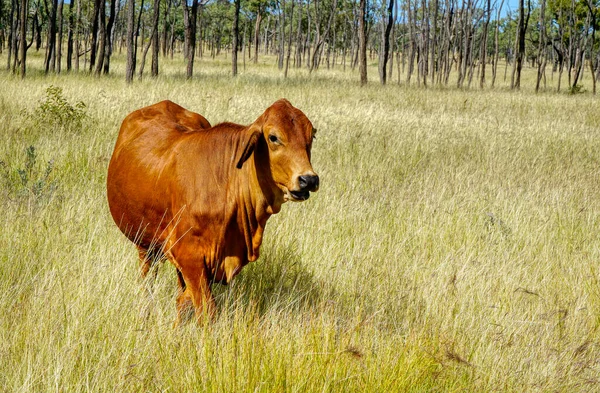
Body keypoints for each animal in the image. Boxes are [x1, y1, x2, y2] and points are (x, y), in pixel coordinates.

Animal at [107, 98, 318, 322]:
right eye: (273, 137)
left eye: (311, 135)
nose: (308, 180)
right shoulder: (188, 256)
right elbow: (206, 308)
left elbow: (184, 301)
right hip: (144, 243)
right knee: (147, 281)